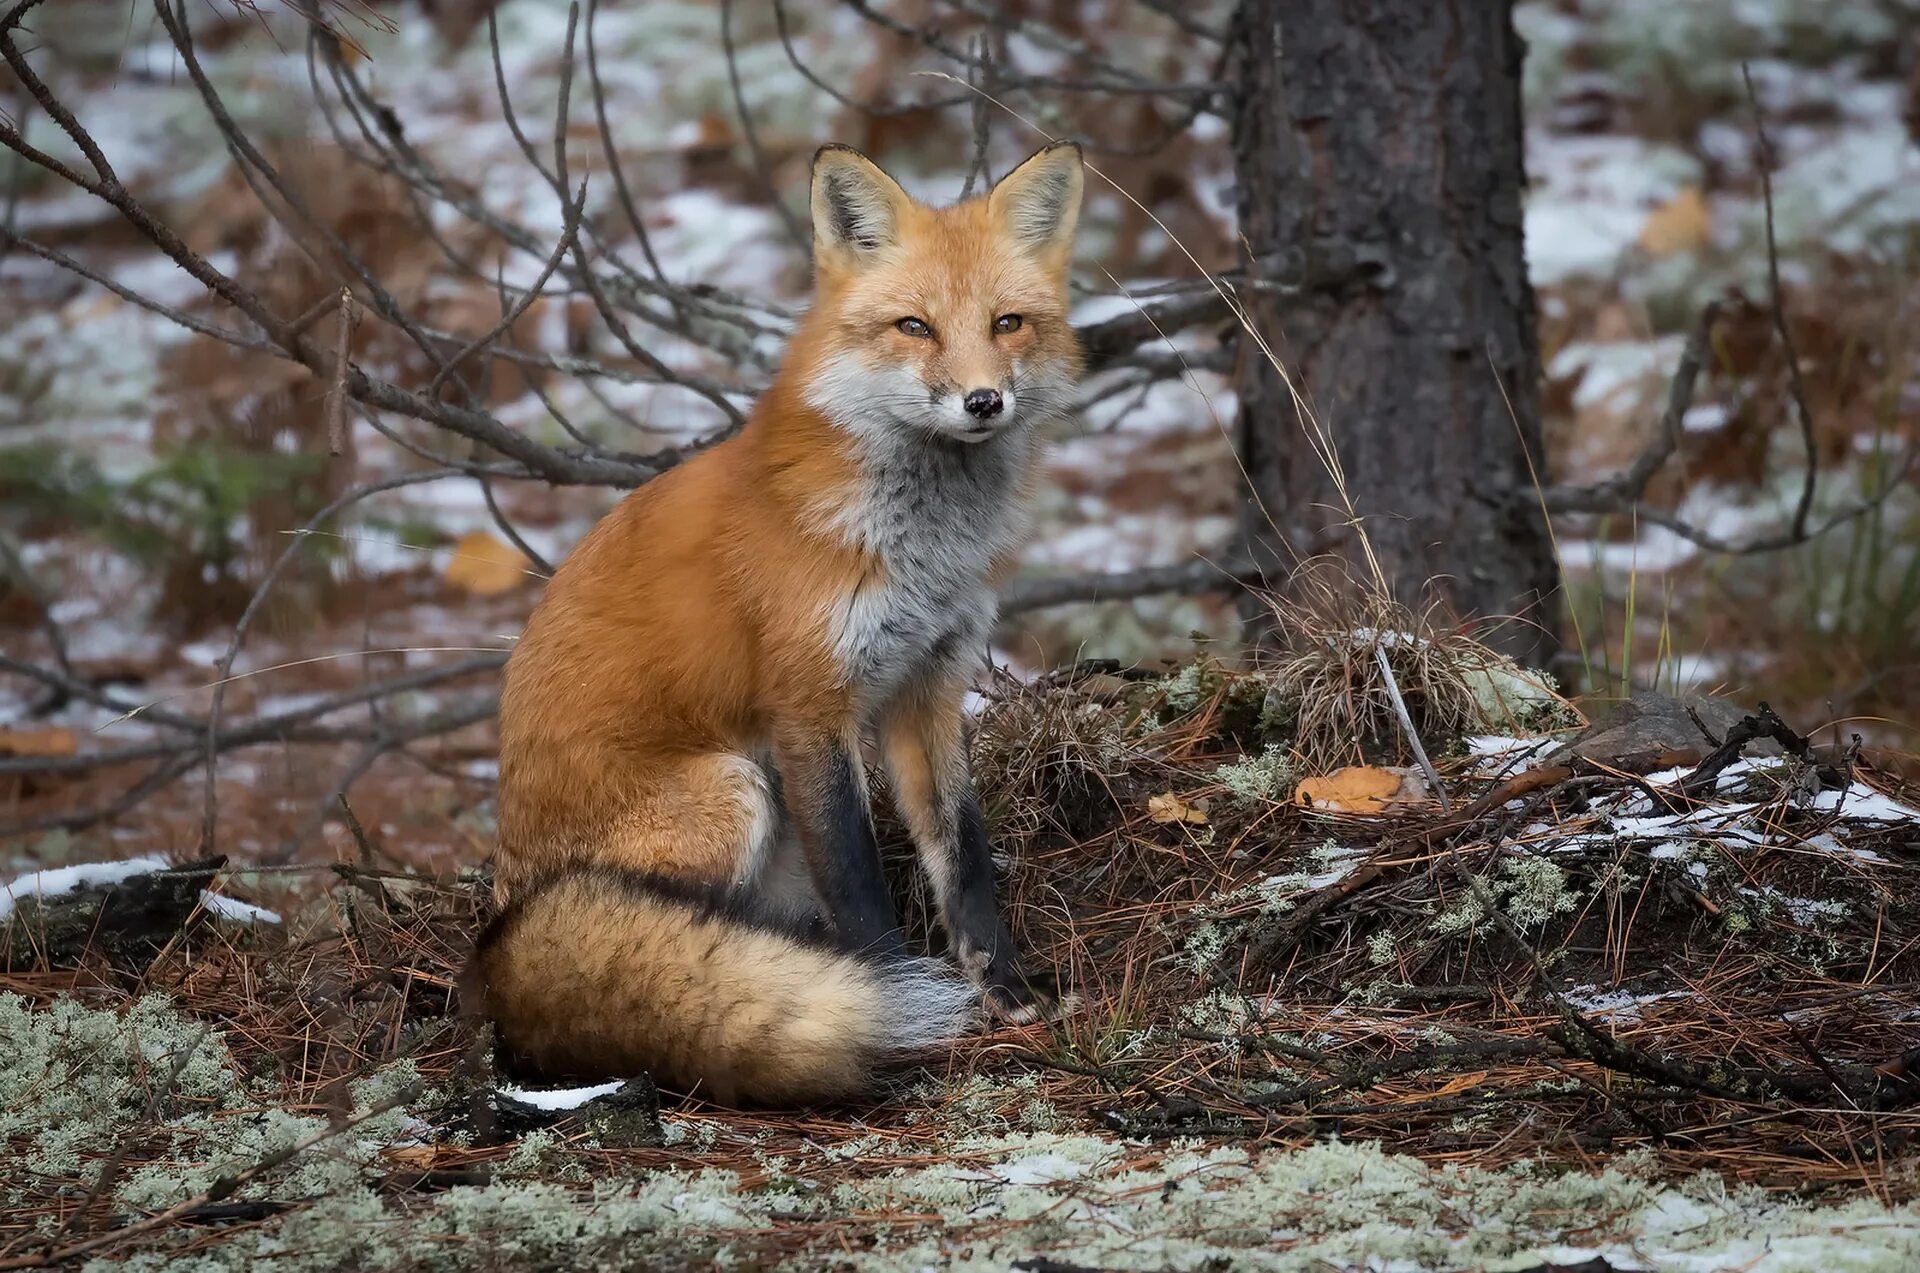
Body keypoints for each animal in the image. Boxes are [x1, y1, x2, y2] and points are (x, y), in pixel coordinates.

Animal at [472, 139, 1090, 1105]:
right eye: (914, 327)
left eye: (1008, 323)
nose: (984, 401)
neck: (915, 545)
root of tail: (502, 931)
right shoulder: (810, 705)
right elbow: (861, 882)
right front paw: (889, 999)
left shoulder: (927, 686)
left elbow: (964, 854)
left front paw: (1005, 987)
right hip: (733, 789)